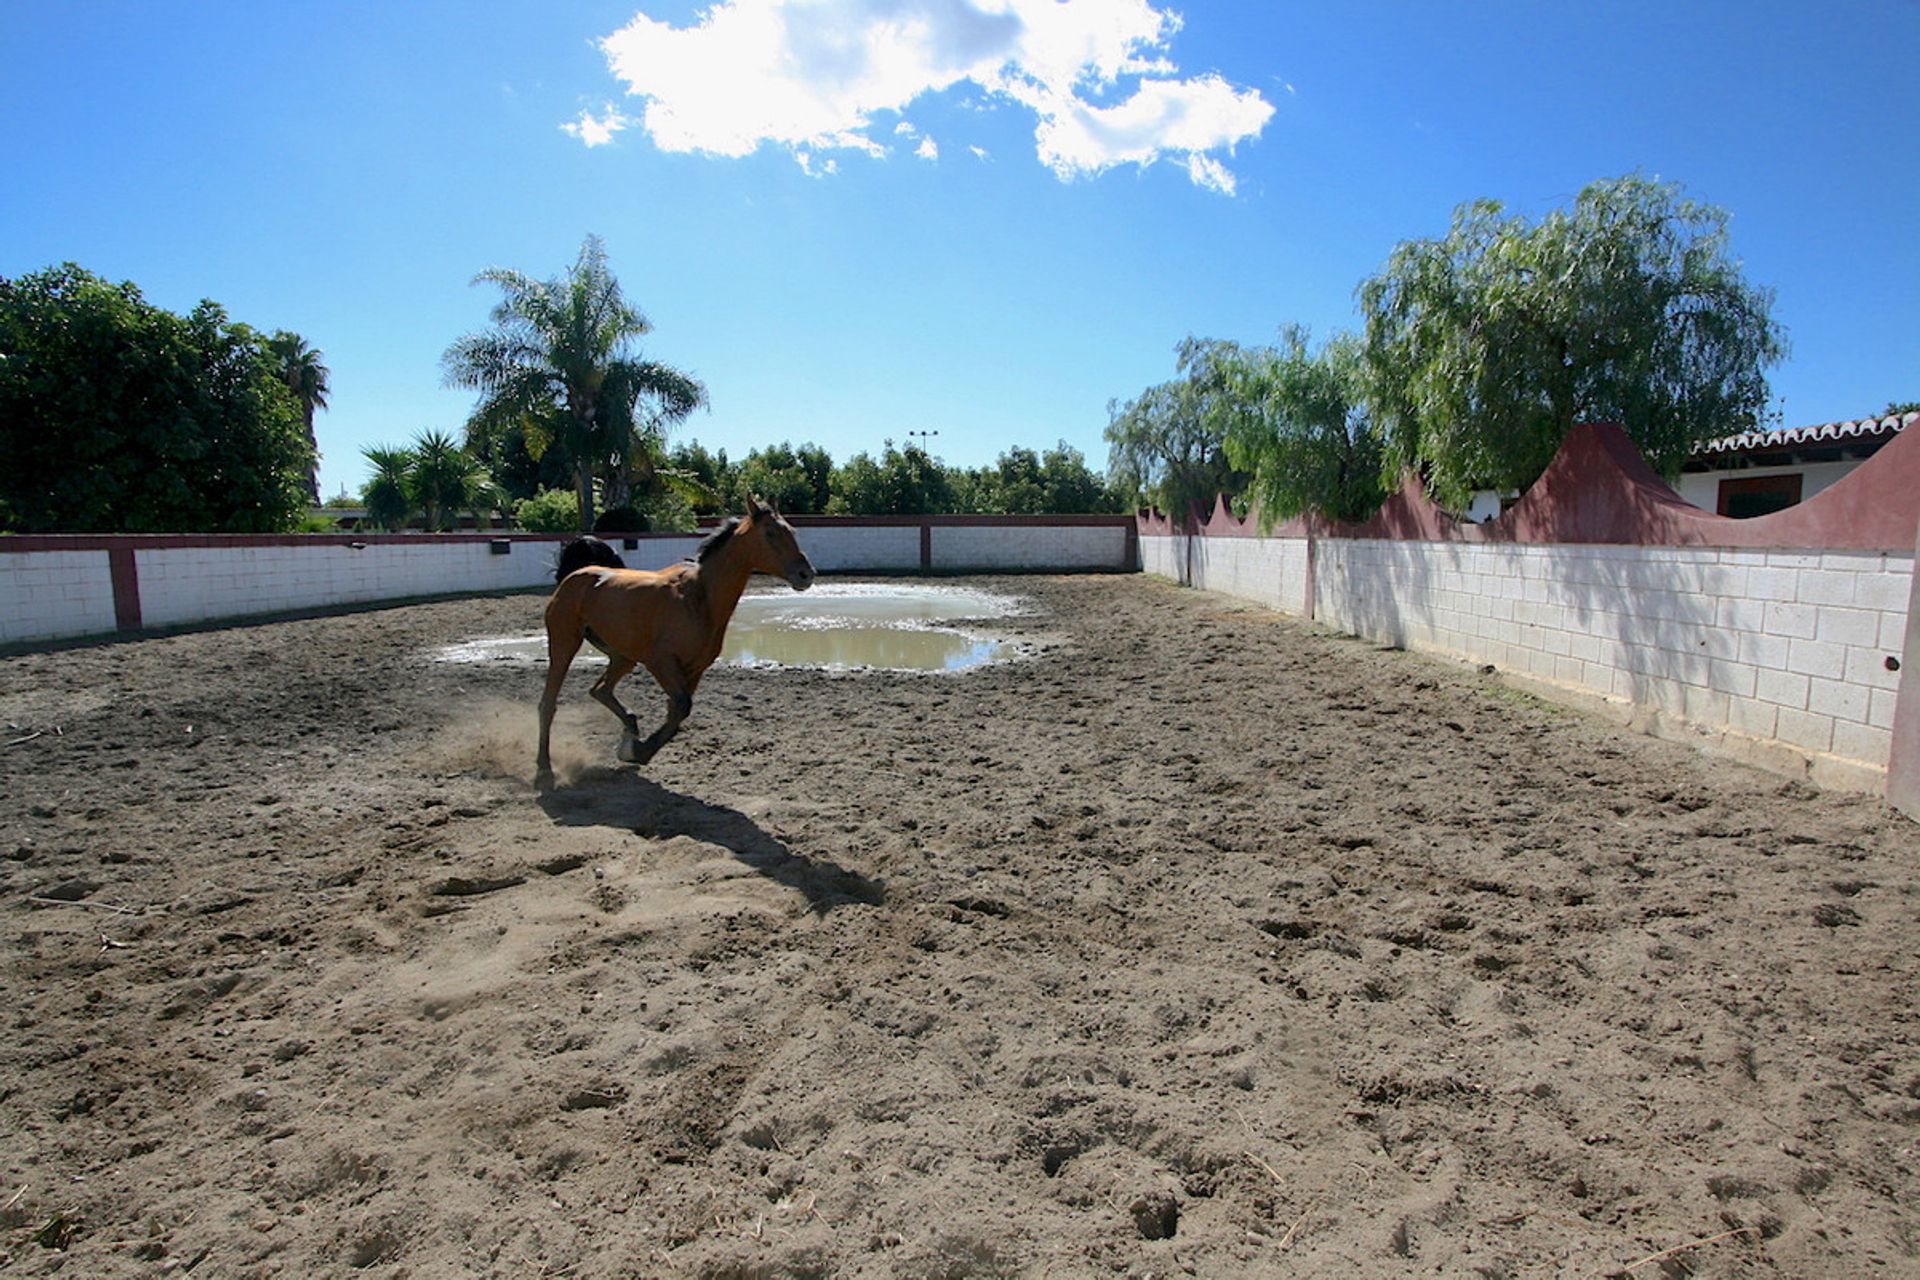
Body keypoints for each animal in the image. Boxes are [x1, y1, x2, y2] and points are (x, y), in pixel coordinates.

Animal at [533, 498, 817, 790]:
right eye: (770, 533)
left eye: (792, 531)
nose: (806, 574)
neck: (697, 598)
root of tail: (575, 576)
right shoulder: (661, 663)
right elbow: (680, 706)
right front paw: (639, 750)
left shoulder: (694, 670)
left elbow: (677, 712)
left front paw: (634, 749)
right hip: (564, 645)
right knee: (548, 704)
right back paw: (544, 769)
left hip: (623, 657)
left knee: (600, 690)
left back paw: (630, 729)